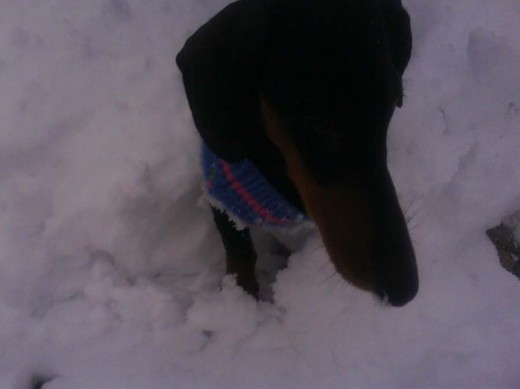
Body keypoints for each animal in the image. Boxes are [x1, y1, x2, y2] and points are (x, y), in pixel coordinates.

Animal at [178, 0, 418, 304]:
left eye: (393, 103)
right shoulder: (220, 190)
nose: (405, 289)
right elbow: (239, 253)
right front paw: (239, 298)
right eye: (315, 123)